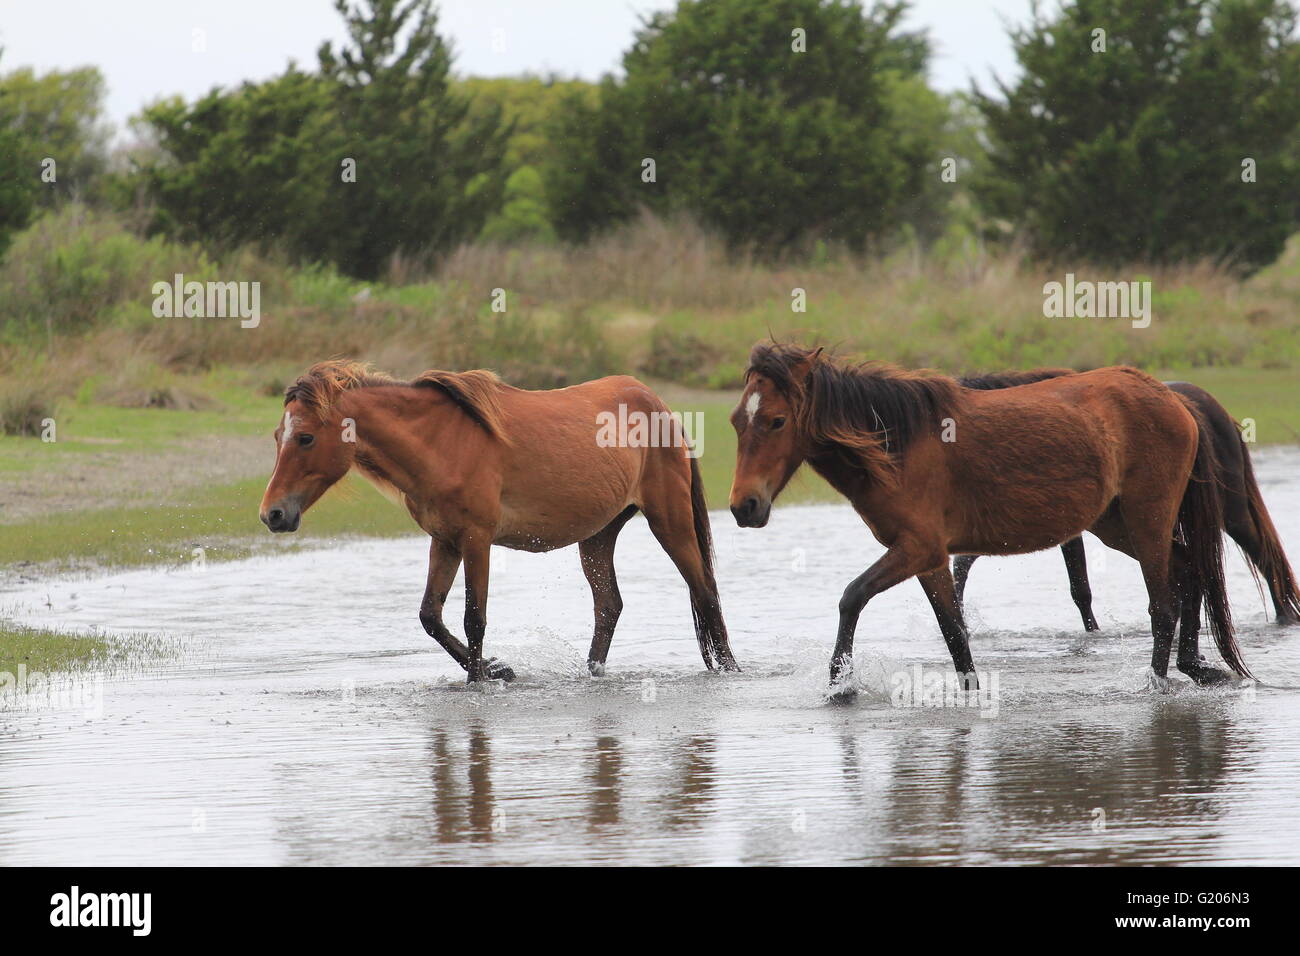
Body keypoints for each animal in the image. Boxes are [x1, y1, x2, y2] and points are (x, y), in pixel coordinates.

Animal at [258, 358, 738, 681]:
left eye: (305, 437)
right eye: (278, 436)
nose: (273, 514)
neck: (440, 443)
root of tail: (659, 405)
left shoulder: (477, 538)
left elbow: (474, 618)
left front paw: (480, 680)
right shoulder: (445, 540)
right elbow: (431, 616)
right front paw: (497, 669)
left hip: (668, 518)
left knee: (705, 591)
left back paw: (730, 669)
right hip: (599, 535)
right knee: (609, 606)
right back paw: (592, 674)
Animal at [728, 343, 1253, 697]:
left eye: (776, 420)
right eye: (737, 421)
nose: (743, 506)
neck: (897, 443)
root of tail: (1171, 398)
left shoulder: (917, 548)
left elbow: (852, 597)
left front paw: (841, 687)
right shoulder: (929, 558)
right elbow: (954, 633)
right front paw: (970, 694)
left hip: (1147, 520)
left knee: (1163, 605)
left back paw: (1157, 684)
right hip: (1117, 524)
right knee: (1189, 571)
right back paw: (1195, 666)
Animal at [951, 369, 1294, 632]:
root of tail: (1211, 408)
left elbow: (1080, 587)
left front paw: (1093, 632)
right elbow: (963, 563)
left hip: (1230, 511)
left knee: (1264, 554)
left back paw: (1285, 617)